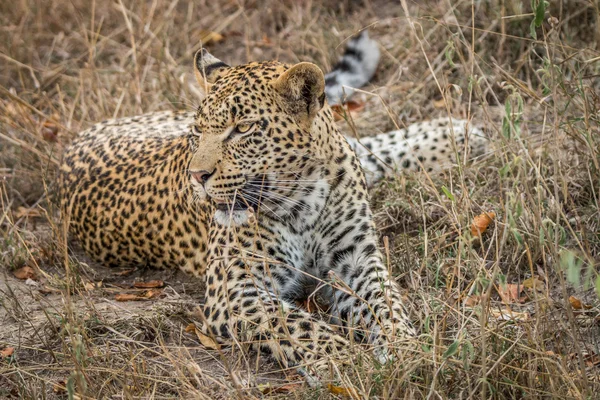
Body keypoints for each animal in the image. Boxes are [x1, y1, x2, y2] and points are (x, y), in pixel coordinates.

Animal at [57, 33, 488, 382]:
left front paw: (408, 350)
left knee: (364, 147)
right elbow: (299, 326)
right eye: (198, 132)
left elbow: (387, 306)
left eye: (243, 129)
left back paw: (456, 135)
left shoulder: (356, 259)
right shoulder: (235, 288)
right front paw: (351, 364)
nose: (196, 176)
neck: (304, 195)